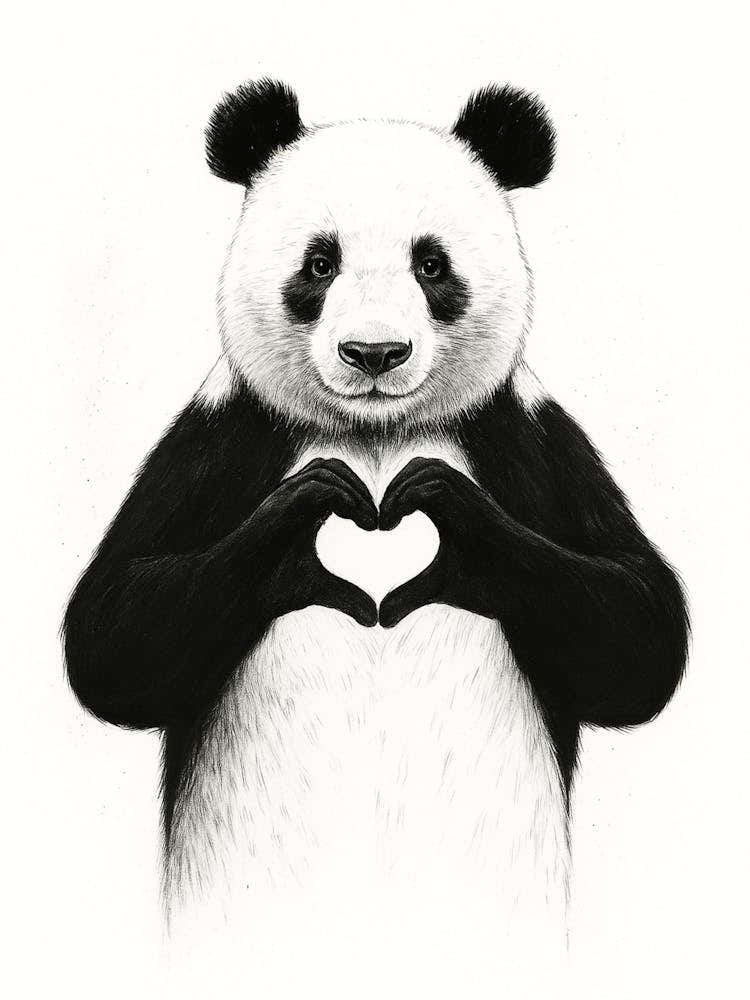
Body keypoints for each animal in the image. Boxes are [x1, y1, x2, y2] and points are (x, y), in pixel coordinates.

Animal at [64, 80, 688, 957]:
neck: (377, 435)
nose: (374, 354)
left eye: (432, 264)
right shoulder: (226, 437)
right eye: (319, 263)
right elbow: (114, 638)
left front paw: (449, 524)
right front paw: (313, 519)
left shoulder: (521, 435)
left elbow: (637, 635)